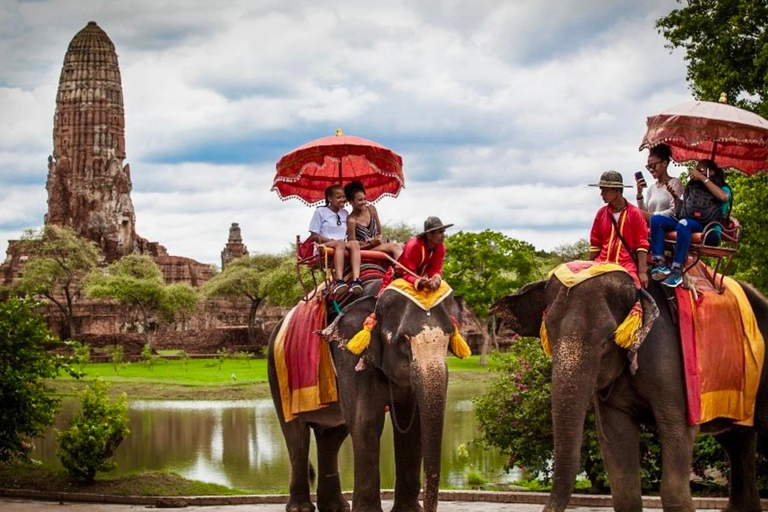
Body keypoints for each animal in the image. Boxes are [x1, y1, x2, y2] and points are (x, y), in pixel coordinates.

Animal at [267, 278, 466, 512]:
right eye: (402, 341)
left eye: (449, 339)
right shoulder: (349, 353)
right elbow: (367, 420)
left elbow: (412, 426)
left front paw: (407, 511)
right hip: (277, 373)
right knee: (297, 436)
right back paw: (301, 508)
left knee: (332, 436)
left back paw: (335, 507)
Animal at [493, 272, 768, 512]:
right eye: (548, 333)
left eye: (608, 339)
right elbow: (617, 448)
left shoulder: (672, 362)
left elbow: (678, 431)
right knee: (737, 441)